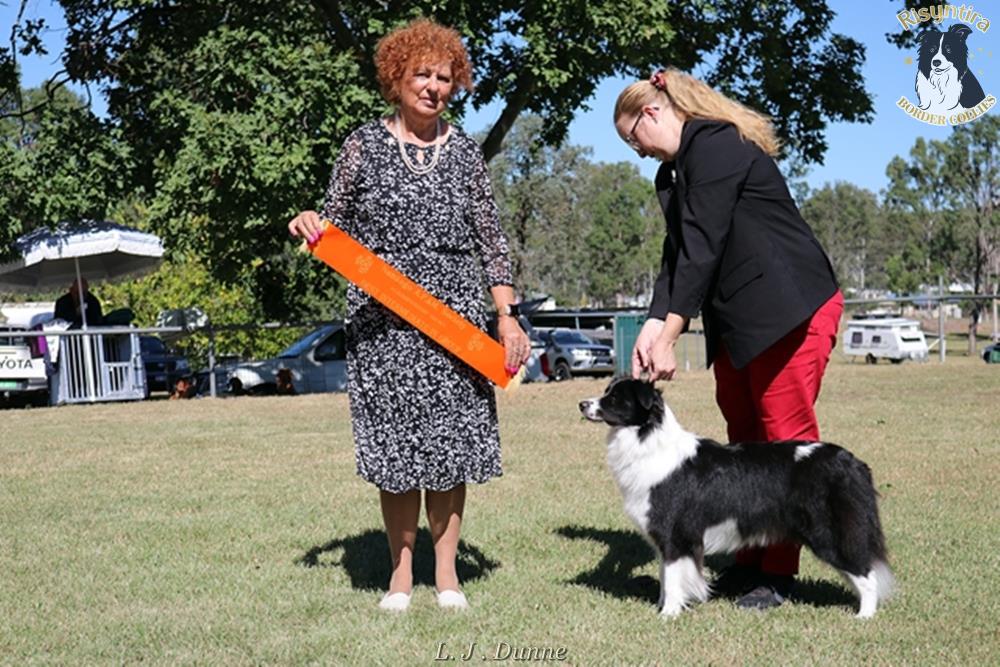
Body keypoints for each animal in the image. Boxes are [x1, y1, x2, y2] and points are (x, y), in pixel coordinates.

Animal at [579, 378, 894, 618]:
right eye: (606, 391)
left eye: (615, 398)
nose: (582, 404)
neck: (647, 440)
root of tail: (853, 462)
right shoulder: (665, 538)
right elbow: (666, 575)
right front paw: (665, 604)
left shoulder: (674, 533)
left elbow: (672, 575)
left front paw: (668, 614)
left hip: (828, 532)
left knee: (865, 572)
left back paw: (864, 615)